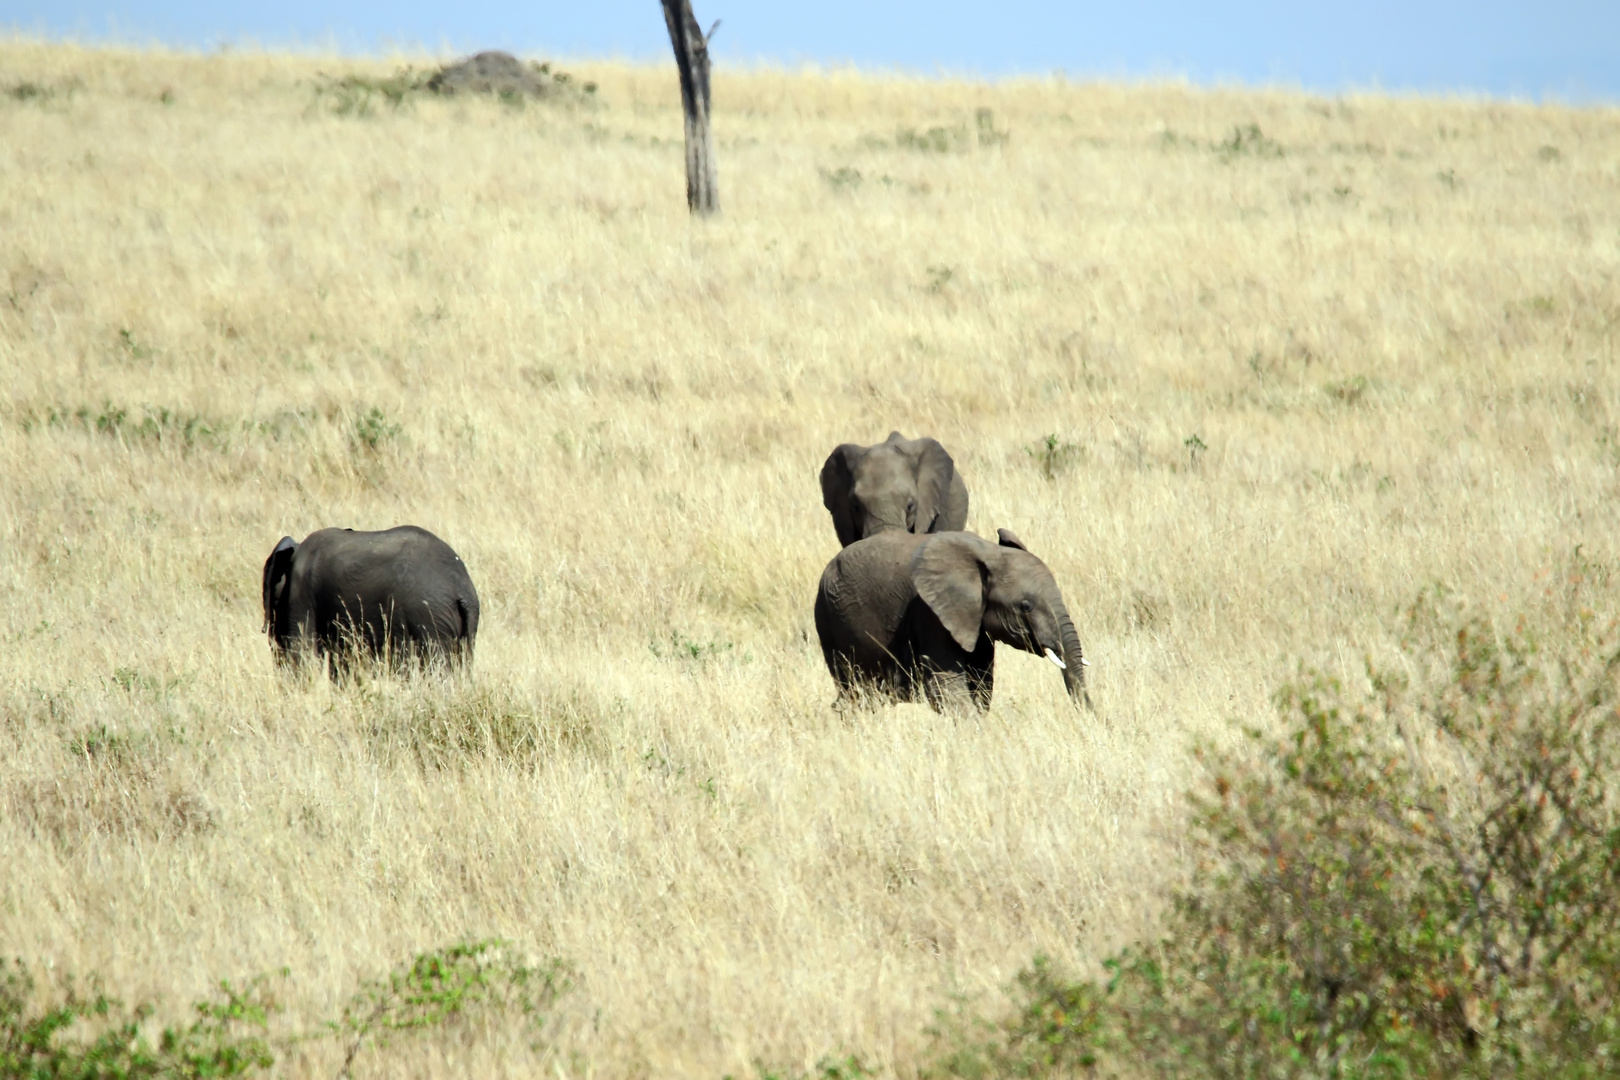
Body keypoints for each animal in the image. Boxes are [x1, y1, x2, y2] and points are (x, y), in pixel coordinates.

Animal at [810, 527, 1088, 712]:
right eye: (1026, 606)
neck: (988, 553)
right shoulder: (929, 613)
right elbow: (947, 686)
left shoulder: (975, 620)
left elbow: (981, 682)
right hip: (829, 619)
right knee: (855, 691)